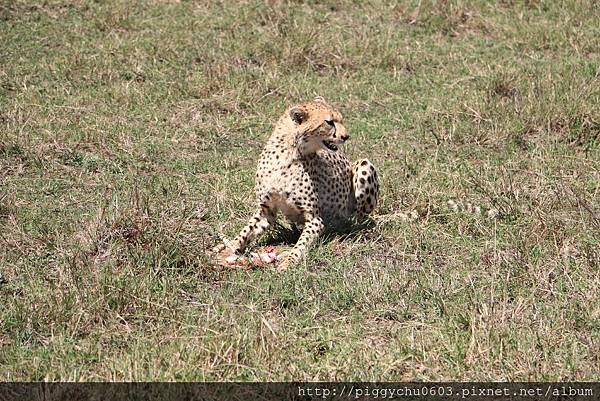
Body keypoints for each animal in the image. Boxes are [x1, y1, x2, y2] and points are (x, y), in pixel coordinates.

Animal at [216, 96, 380, 268]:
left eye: (340, 119)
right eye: (329, 122)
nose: (346, 136)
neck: (288, 153)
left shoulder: (315, 219)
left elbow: (300, 245)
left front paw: (288, 261)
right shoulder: (266, 211)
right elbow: (245, 231)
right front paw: (228, 249)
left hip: (364, 165)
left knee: (357, 219)